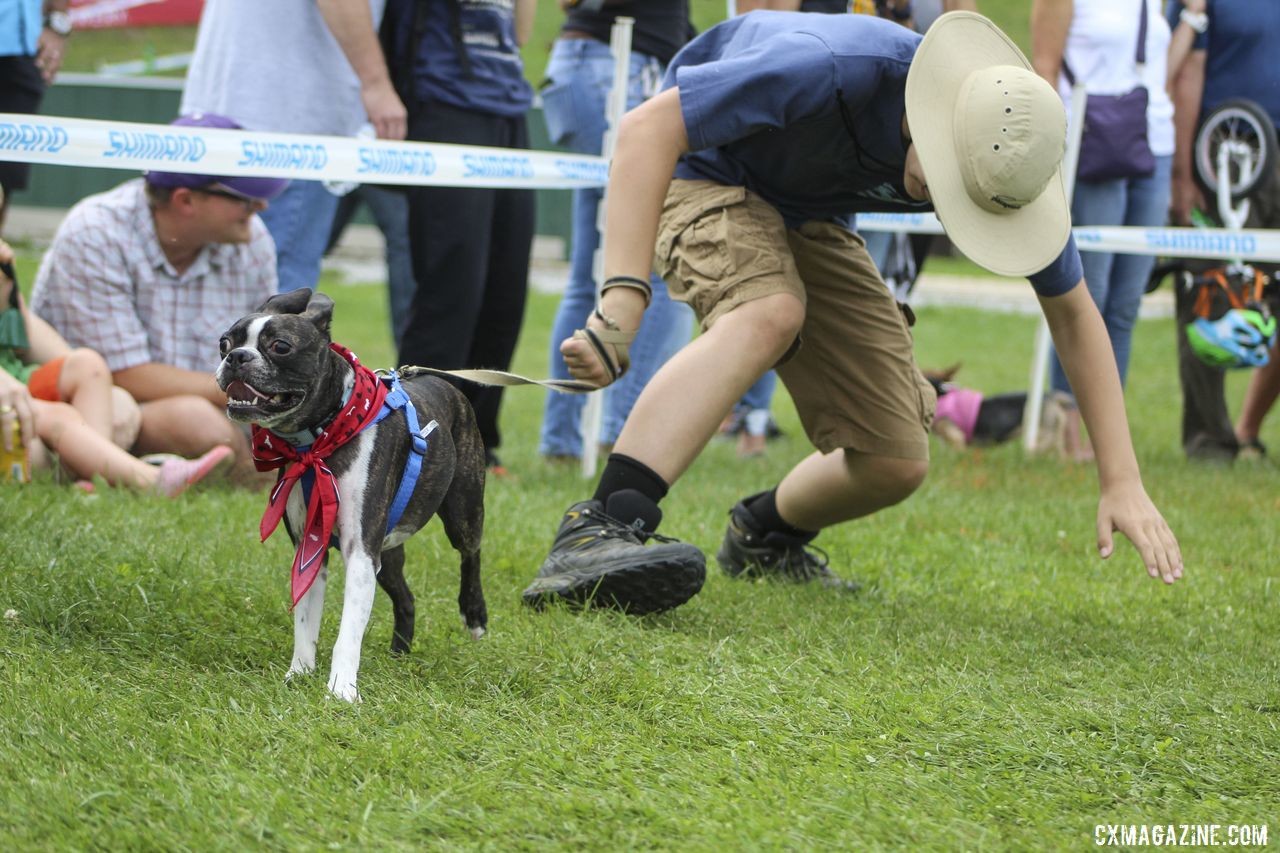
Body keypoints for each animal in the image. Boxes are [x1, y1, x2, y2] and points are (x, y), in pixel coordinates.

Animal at [215, 289, 483, 701]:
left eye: (280, 346)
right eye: (224, 343)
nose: (236, 357)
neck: (320, 439)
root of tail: (445, 384)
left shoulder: (359, 553)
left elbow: (348, 631)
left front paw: (341, 690)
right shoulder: (312, 546)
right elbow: (305, 621)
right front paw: (299, 675)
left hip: (462, 512)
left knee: (471, 556)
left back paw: (474, 616)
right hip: (387, 554)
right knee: (406, 598)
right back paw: (398, 655)